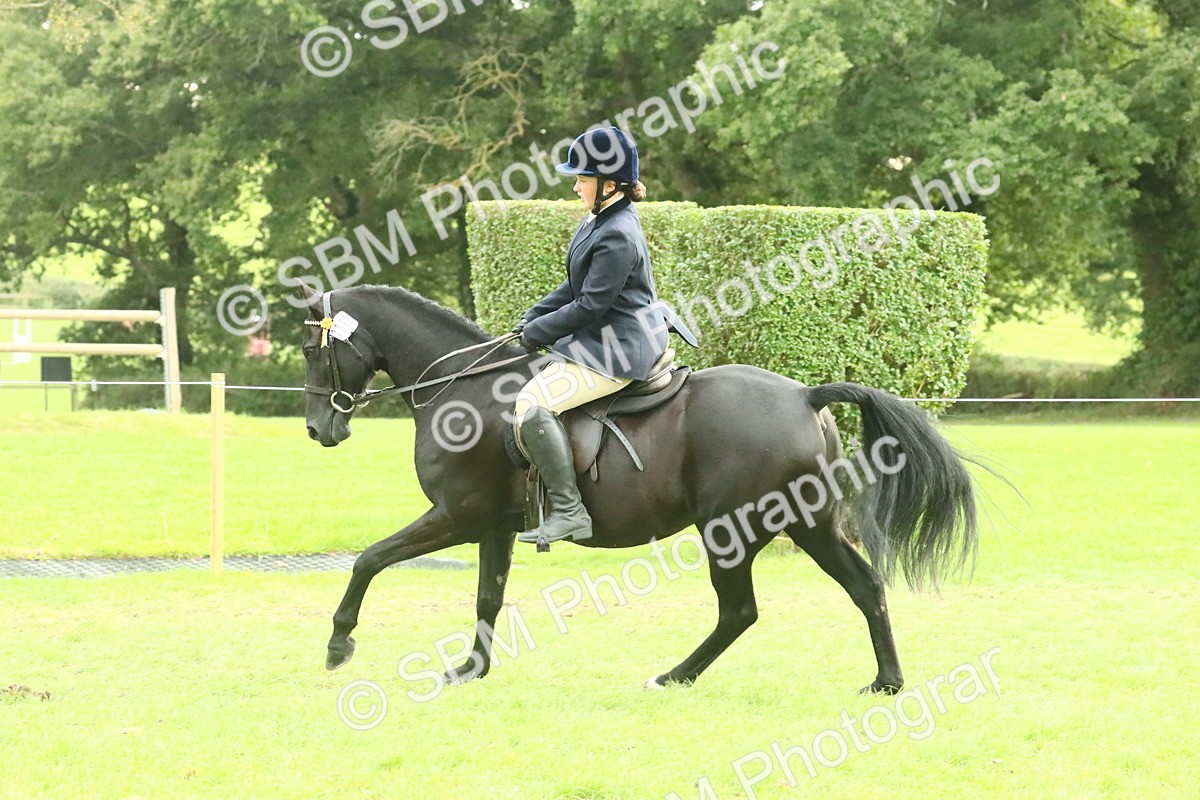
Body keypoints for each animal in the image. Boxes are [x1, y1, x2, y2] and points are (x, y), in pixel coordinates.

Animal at [302, 283, 979, 694]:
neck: (463, 387)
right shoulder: (494, 526)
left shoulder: (455, 516)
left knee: (740, 611)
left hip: (732, 530)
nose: (317, 429)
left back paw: (673, 677)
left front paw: (338, 644)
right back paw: (887, 682)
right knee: (865, 587)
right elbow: (487, 598)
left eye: (313, 348)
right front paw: (471, 669)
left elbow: (369, 560)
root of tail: (805, 395)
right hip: (807, 523)